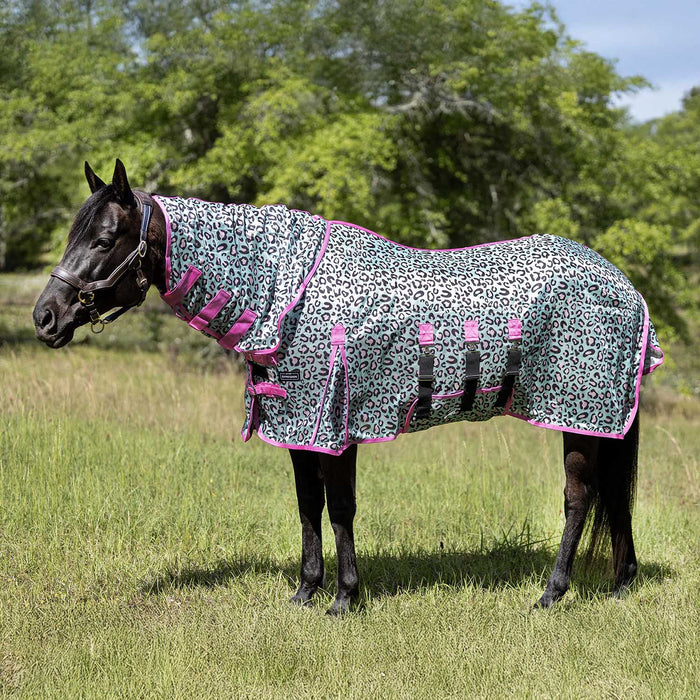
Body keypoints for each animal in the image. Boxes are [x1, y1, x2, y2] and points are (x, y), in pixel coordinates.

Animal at [33, 159, 662, 615]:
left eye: (105, 239)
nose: (46, 317)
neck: (287, 291)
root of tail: (627, 289)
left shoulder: (334, 428)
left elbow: (340, 509)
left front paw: (343, 598)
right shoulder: (297, 427)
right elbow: (309, 507)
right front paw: (305, 592)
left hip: (578, 416)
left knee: (579, 498)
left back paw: (551, 594)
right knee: (612, 497)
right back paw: (620, 584)